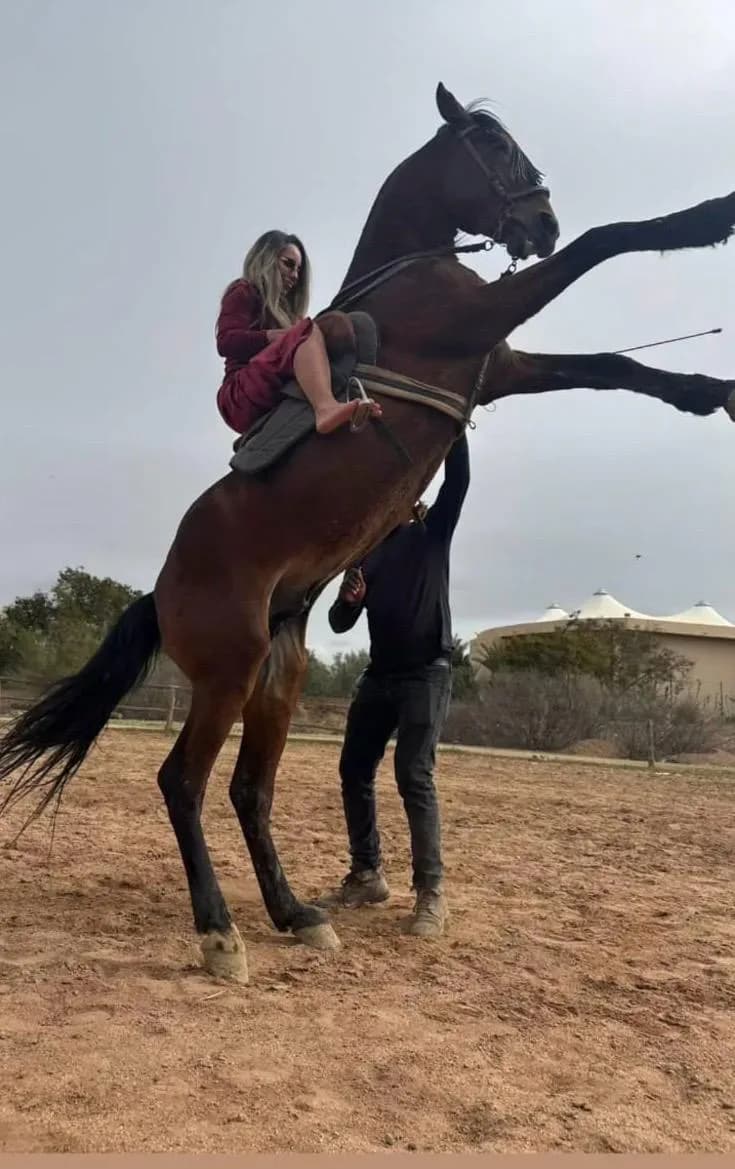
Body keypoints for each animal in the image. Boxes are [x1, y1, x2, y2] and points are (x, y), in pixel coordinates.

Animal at [1, 83, 733, 984]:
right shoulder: (483, 317)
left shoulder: (502, 364)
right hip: (227, 673)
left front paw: (705, 390)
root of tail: (160, 588)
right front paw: (708, 216)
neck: (407, 272)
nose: (541, 221)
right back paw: (221, 934)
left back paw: (296, 914)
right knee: (183, 782)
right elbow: (609, 243)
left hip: (276, 675)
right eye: (492, 143)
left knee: (249, 790)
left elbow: (609, 365)